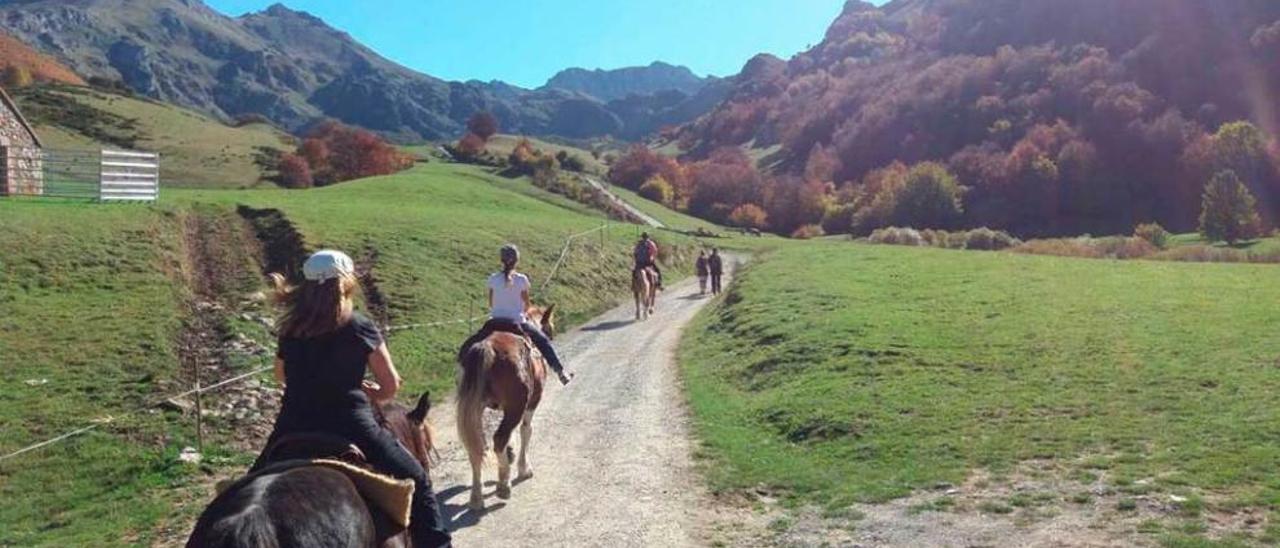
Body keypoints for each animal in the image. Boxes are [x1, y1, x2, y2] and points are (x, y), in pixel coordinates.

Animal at [460, 306, 560, 512]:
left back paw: (476, 497)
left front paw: (511, 454)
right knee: (498, 438)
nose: (552, 336)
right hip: (516, 405)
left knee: (476, 447)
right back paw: (503, 485)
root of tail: (487, 347)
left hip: (476, 410)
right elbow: (526, 430)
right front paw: (523, 468)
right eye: (550, 326)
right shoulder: (531, 402)